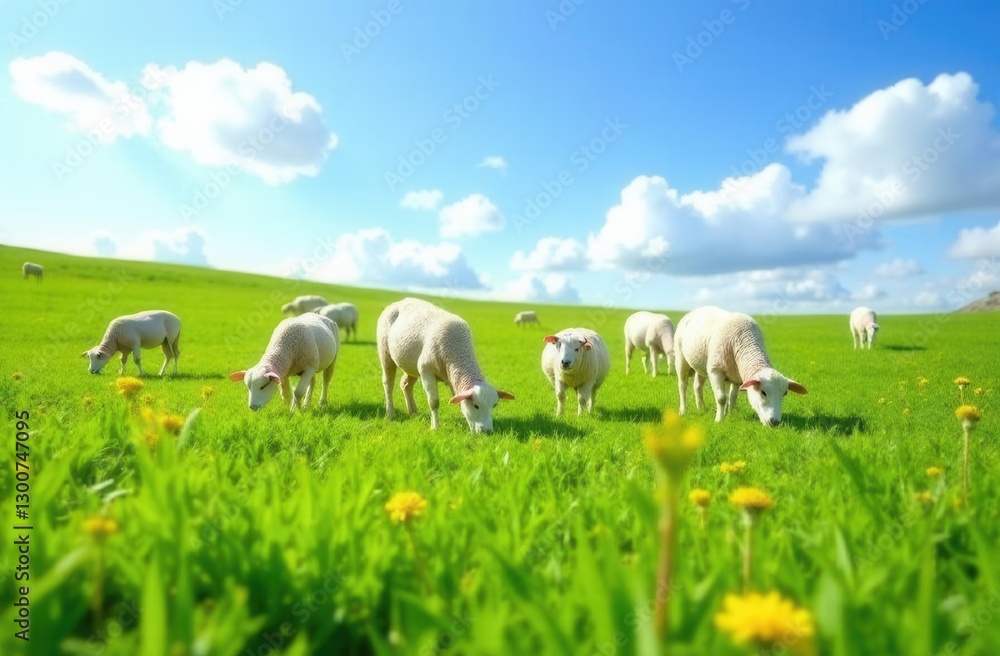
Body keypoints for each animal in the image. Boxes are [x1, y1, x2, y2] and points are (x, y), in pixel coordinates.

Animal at [377, 297, 514, 433]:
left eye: (494, 405)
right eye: (476, 406)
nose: (487, 432)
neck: (458, 351)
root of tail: (396, 302)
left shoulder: (451, 377)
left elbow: (458, 399)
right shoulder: (426, 369)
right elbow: (434, 402)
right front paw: (435, 428)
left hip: (410, 364)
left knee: (405, 384)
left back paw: (413, 412)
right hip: (385, 352)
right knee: (388, 383)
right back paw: (390, 414)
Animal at [674, 306, 807, 426]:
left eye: (784, 394)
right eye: (763, 392)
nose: (775, 422)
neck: (746, 339)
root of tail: (694, 310)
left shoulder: (737, 378)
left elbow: (732, 398)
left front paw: (730, 416)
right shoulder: (715, 371)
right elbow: (721, 398)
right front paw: (719, 420)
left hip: (702, 365)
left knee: (698, 386)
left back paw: (701, 408)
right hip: (681, 359)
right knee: (682, 385)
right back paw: (683, 411)